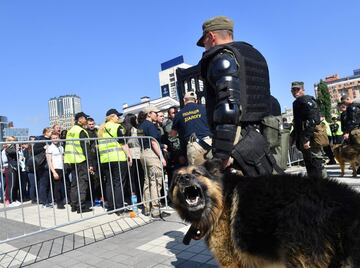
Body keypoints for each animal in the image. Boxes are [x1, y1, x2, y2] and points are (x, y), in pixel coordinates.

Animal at [170, 160, 360, 266]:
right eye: (177, 178)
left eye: (196, 173)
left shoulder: (230, 262)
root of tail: (345, 202)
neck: (222, 201)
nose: (184, 178)